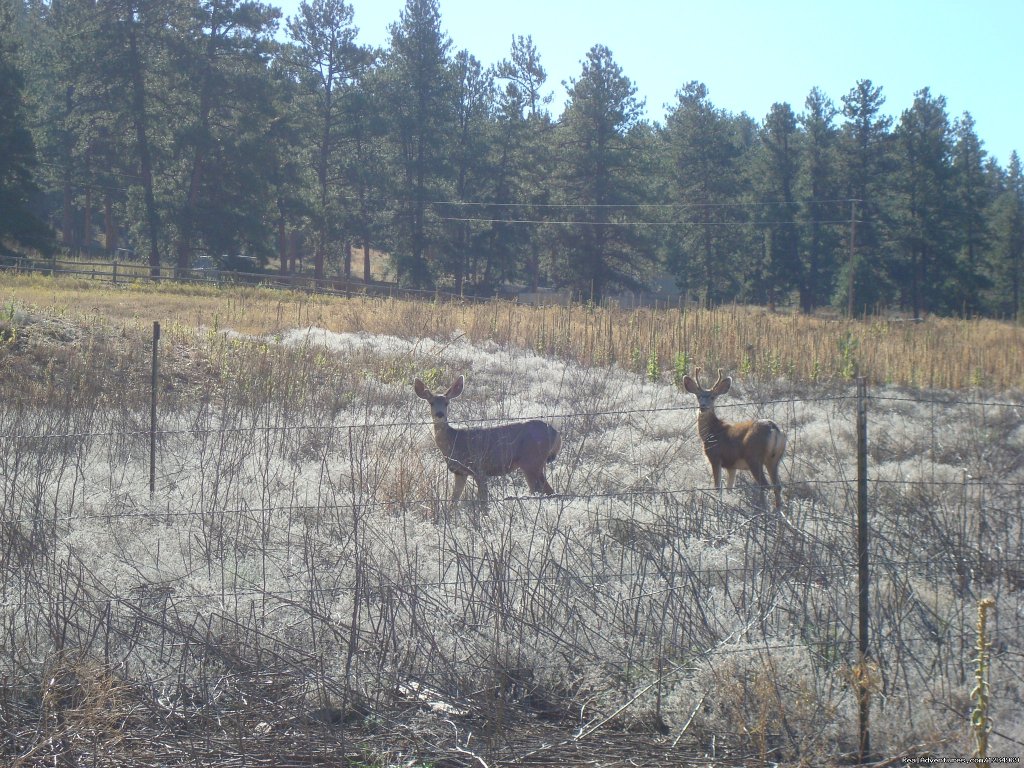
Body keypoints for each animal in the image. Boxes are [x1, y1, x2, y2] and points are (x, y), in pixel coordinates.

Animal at [413, 376, 561, 501]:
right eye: (431, 403)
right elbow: (453, 500)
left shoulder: (479, 468)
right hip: (533, 464)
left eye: (447, 402)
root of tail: (556, 433)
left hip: (532, 461)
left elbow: (482, 501)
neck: (454, 439)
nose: (440, 414)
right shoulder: (459, 472)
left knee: (544, 491)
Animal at [684, 368, 786, 512]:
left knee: (765, 485)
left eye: (713, 397)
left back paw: (764, 510)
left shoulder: (715, 457)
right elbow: (729, 489)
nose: (703, 406)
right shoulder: (731, 466)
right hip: (775, 459)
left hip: (754, 457)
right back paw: (778, 512)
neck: (711, 432)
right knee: (777, 486)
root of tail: (773, 428)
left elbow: (717, 488)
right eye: (698, 396)